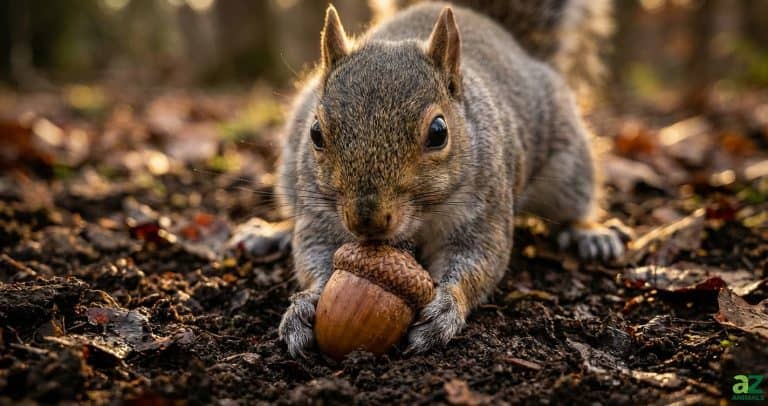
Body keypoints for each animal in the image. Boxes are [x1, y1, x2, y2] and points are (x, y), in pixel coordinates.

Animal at [230, 0, 624, 358]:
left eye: (438, 133)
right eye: (315, 133)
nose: (366, 220)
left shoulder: (485, 208)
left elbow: (477, 261)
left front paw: (445, 308)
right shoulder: (320, 211)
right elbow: (314, 252)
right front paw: (305, 303)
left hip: (569, 166)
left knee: (573, 205)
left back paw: (590, 234)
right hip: (288, 175)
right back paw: (272, 233)